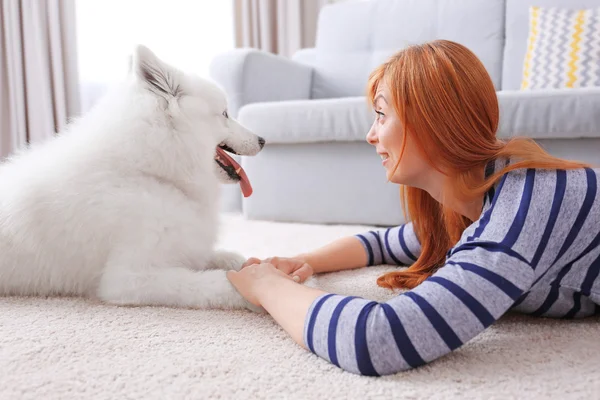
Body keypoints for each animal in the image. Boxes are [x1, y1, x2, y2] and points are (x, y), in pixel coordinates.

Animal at [0, 44, 264, 312]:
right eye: (225, 114)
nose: (263, 140)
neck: (146, 171)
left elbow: (211, 256)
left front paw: (234, 259)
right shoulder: (129, 278)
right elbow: (214, 282)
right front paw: (250, 289)